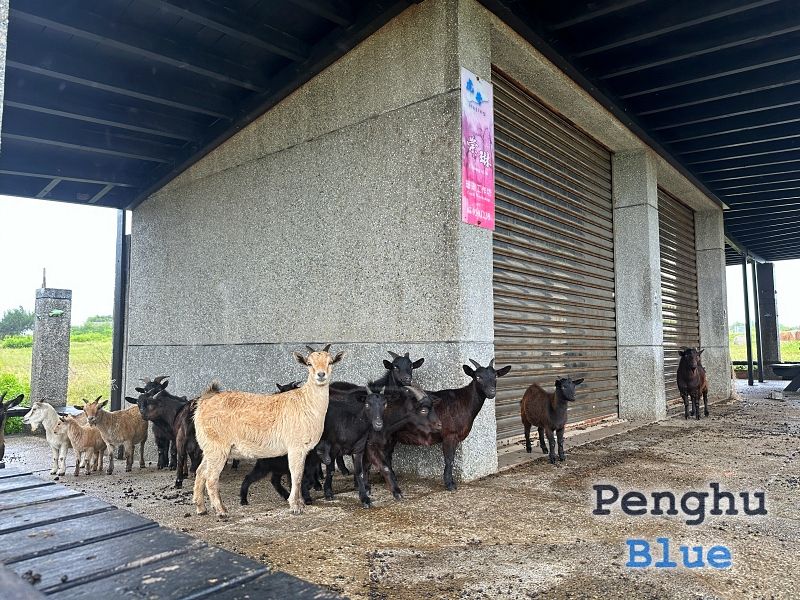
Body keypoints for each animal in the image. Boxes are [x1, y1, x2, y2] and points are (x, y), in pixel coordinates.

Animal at [195, 344, 346, 516]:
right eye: (309, 363)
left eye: (330, 362)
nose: (321, 375)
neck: (306, 403)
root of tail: (203, 403)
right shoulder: (295, 446)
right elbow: (296, 474)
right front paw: (295, 506)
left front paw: (300, 502)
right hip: (218, 446)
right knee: (211, 477)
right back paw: (221, 511)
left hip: (209, 447)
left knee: (200, 472)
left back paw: (201, 508)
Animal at [388, 358, 512, 490]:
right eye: (478, 377)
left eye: (495, 376)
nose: (491, 392)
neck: (463, 402)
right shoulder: (449, 434)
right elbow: (449, 459)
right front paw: (450, 485)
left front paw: (450, 482)